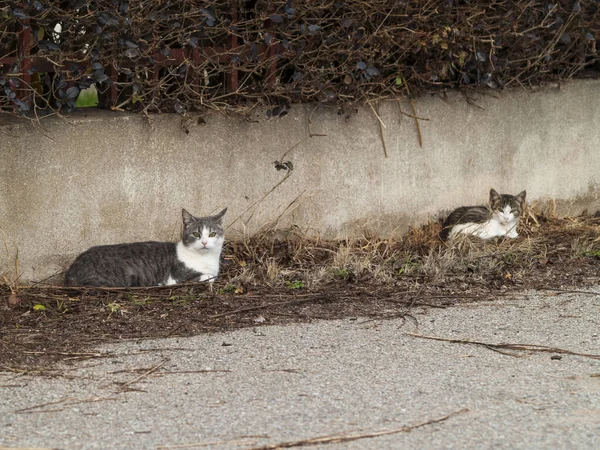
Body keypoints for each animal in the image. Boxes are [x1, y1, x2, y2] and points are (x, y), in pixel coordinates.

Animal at [64, 208, 226, 286]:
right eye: (196, 234)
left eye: (212, 234)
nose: (204, 242)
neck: (205, 259)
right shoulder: (180, 277)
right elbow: (209, 277)